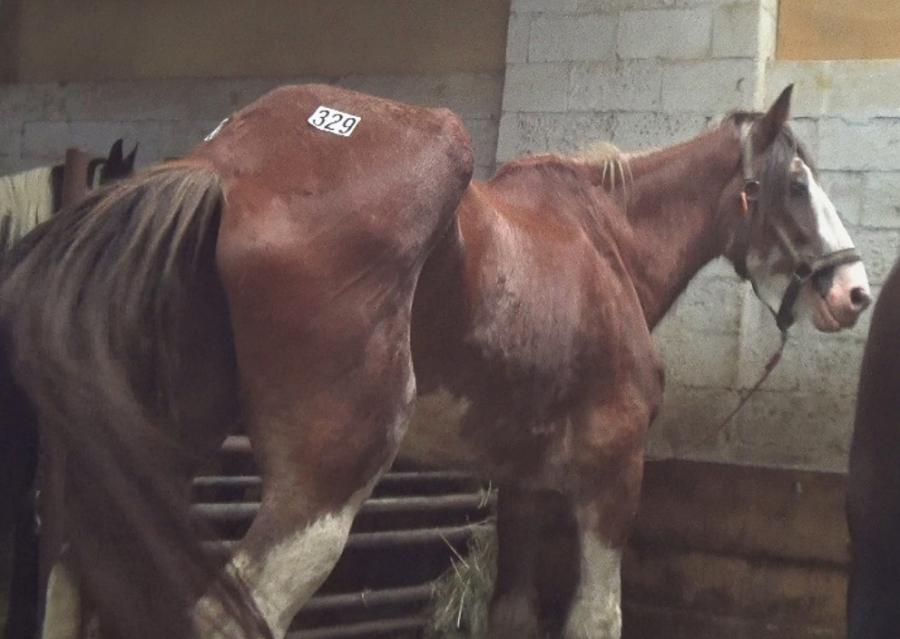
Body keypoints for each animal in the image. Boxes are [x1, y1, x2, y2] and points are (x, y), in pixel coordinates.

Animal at [0, 85, 872, 639]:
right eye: (797, 184)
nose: (855, 291)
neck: (607, 244)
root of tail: (221, 165)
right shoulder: (611, 473)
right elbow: (598, 617)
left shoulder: (524, 485)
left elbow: (512, 615)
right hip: (325, 483)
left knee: (74, 583)